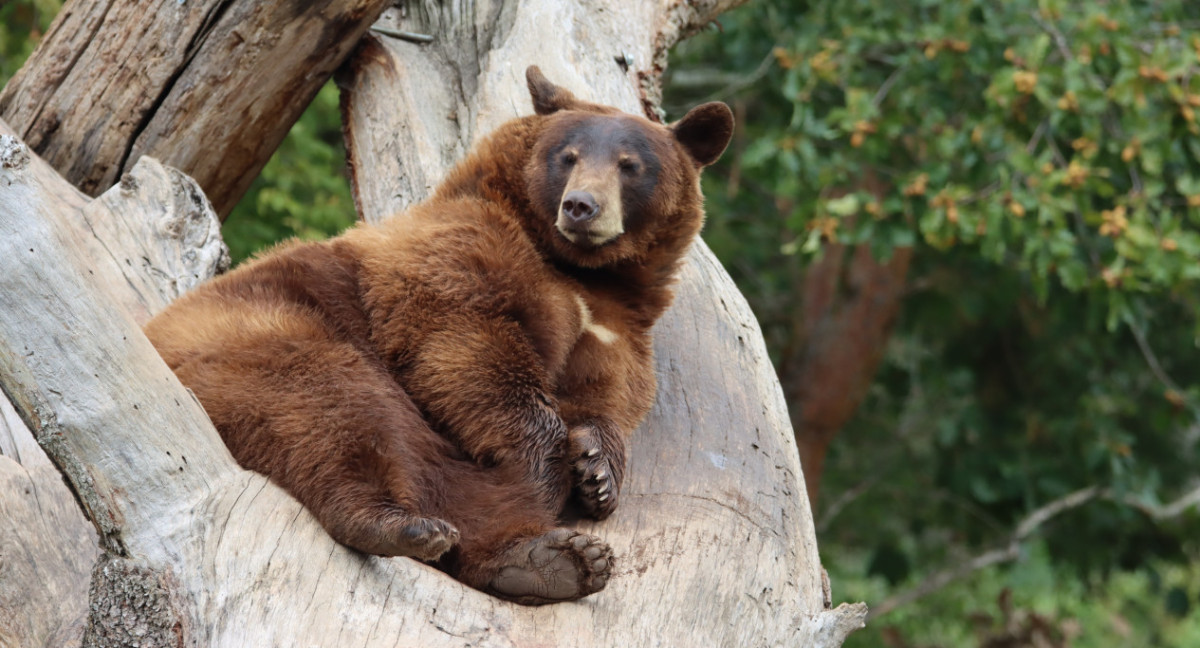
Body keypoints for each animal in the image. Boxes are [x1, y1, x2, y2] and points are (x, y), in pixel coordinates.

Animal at [146, 65, 734, 602]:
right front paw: (546, 467)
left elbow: (607, 394)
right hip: (262, 334)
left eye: (630, 165)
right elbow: (467, 343)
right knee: (334, 409)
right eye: (567, 156)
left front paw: (598, 473)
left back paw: (550, 561)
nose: (581, 206)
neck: (581, 269)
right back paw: (402, 525)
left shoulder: (616, 326)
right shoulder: (461, 252)